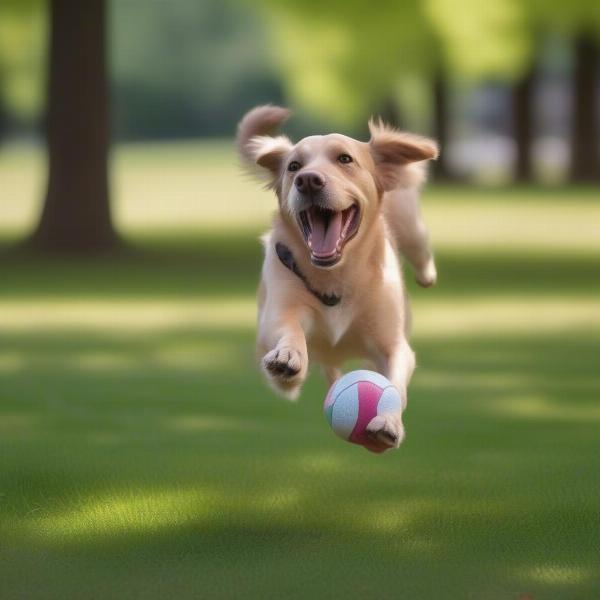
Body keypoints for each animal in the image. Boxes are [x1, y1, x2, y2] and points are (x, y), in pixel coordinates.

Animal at [237, 105, 438, 450]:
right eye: (293, 166)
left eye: (345, 159)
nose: (308, 180)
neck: (336, 276)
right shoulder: (277, 313)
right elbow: (288, 334)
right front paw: (288, 355)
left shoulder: (393, 344)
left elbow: (394, 383)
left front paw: (388, 422)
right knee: (330, 368)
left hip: (409, 220)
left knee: (419, 246)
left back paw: (427, 274)